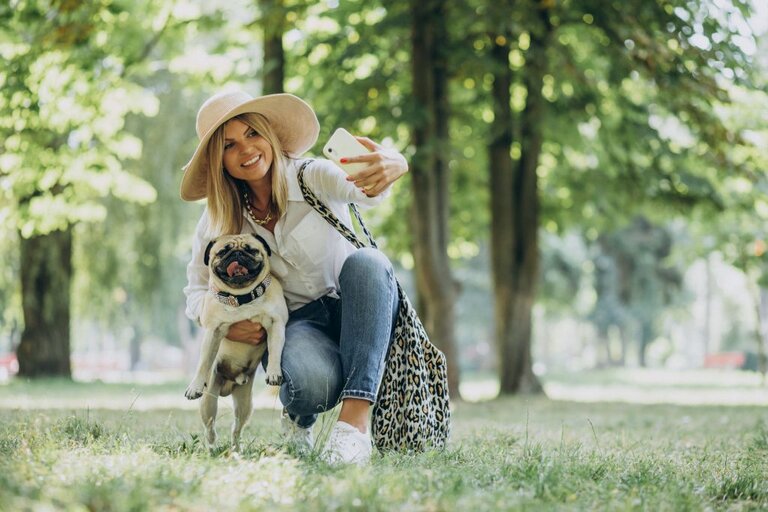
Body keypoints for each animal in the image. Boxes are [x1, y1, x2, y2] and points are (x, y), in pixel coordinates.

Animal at [184, 234, 288, 450]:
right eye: (223, 252)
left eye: (251, 250)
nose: (237, 254)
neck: (242, 297)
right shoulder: (212, 332)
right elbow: (203, 362)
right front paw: (194, 385)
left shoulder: (276, 325)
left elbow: (275, 352)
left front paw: (274, 373)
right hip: (208, 401)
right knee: (210, 427)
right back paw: (212, 447)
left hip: (245, 404)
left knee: (236, 428)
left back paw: (236, 449)